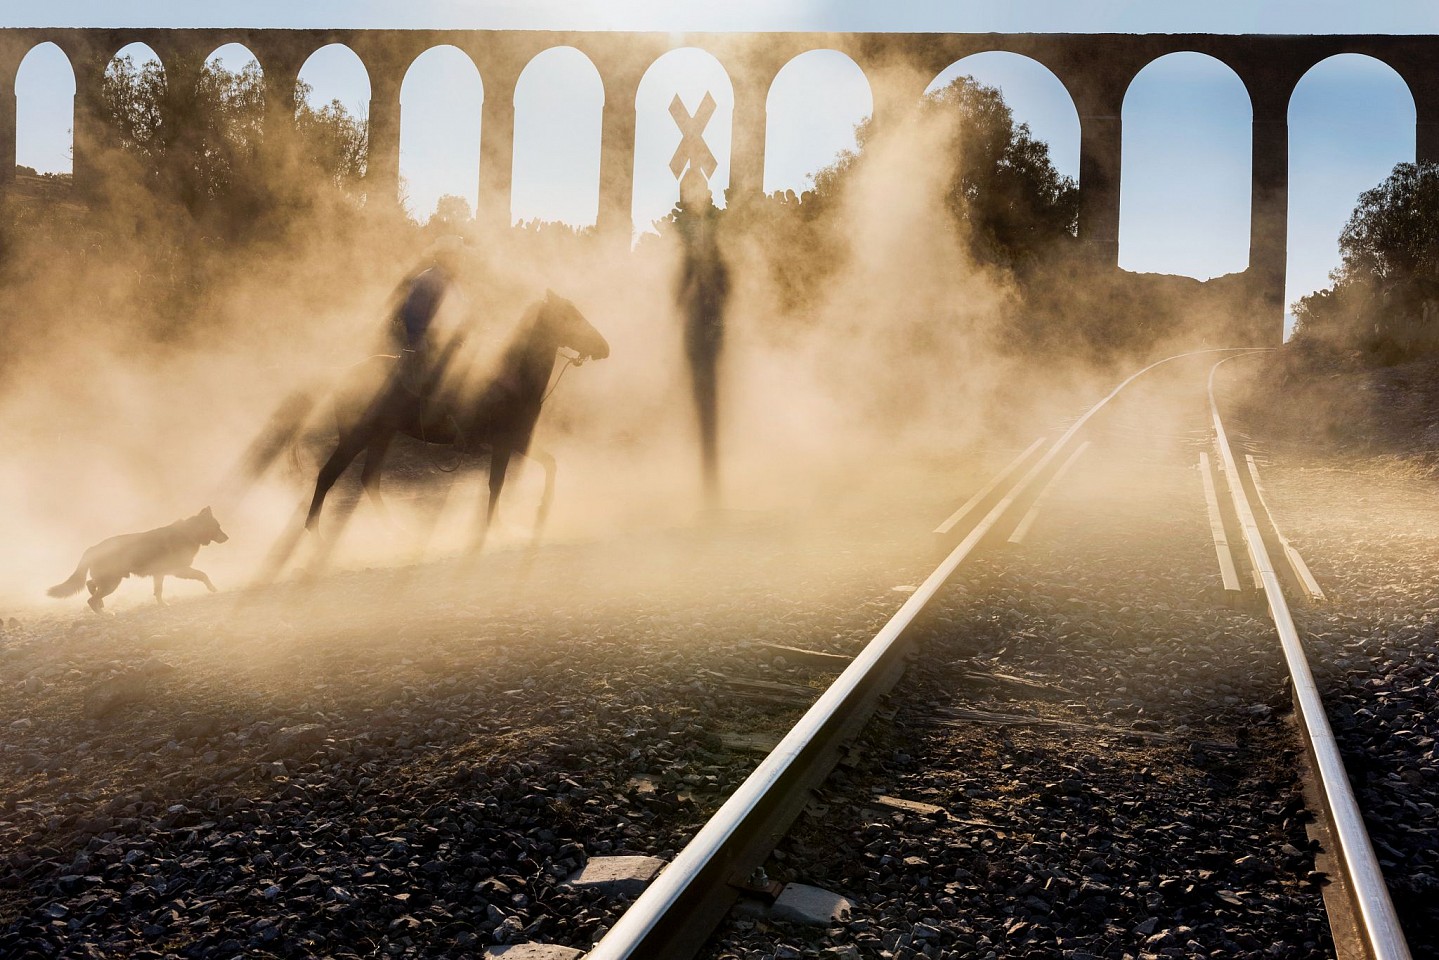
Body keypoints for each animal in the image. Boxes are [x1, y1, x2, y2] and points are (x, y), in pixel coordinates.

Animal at [47, 506, 230, 613]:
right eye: (218, 527)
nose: (228, 538)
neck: (190, 532)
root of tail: (92, 548)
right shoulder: (179, 570)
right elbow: (203, 574)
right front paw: (212, 588)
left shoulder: (159, 574)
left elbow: (158, 591)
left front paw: (163, 605)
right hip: (111, 583)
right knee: (91, 599)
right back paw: (104, 613)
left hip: (108, 581)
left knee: (90, 585)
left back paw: (102, 604)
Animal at [306, 289, 610, 544]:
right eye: (569, 315)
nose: (604, 347)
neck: (513, 378)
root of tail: (343, 376)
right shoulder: (507, 441)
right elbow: (498, 482)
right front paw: (495, 527)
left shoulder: (519, 441)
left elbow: (547, 465)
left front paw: (531, 511)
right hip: (358, 435)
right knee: (328, 473)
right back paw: (314, 533)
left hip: (383, 435)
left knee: (370, 478)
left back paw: (396, 530)